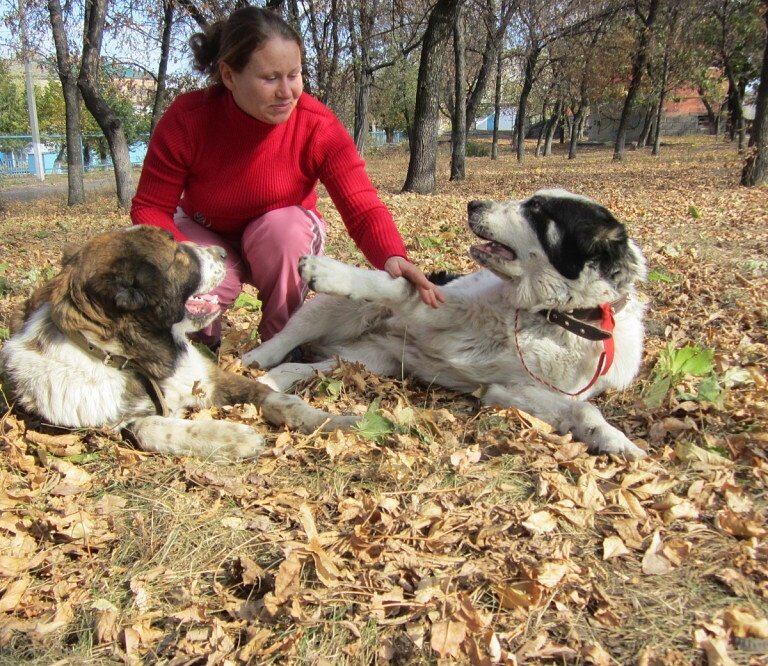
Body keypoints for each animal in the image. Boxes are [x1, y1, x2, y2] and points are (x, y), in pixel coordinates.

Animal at [0, 226, 358, 460]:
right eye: (178, 254)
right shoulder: (117, 426)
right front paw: (231, 436)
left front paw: (334, 422)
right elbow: (159, 427)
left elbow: (282, 400)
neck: (138, 359)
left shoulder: (211, 378)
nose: (223, 252)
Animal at [243, 187, 644, 456]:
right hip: (331, 311)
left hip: (365, 361)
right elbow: (390, 284)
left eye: (537, 209)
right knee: (284, 339)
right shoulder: (438, 303)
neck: (543, 316)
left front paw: (616, 441)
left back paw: (268, 383)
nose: (473, 204)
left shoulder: (511, 390)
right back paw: (252, 360)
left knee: (294, 369)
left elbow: (584, 408)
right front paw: (327, 270)